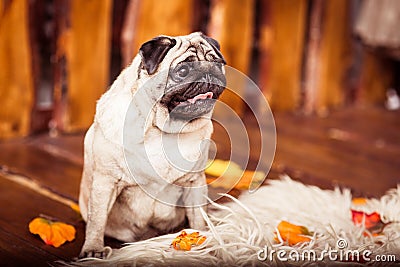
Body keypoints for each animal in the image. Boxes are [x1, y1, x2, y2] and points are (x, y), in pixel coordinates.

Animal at [79, 31, 225, 260]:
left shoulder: (194, 183)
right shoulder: (105, 182)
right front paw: (93, 249)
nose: (208, 71)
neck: (161, 130)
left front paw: (202, 241)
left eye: (217, 64)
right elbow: (97, 220)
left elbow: (198, 218)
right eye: (183, 71)